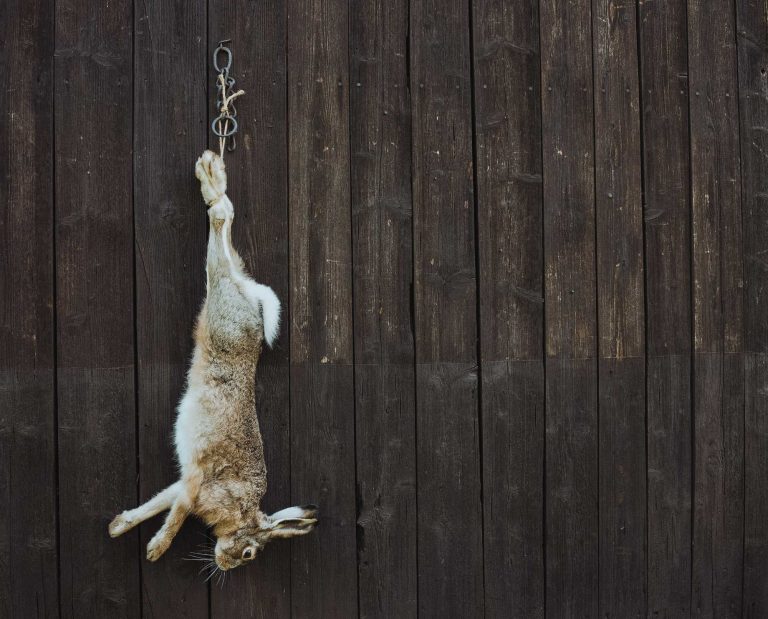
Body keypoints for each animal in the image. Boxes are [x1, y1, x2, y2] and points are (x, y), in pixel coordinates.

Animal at [108, 150, 317, 571]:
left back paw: (210, 176)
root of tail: (247, 291)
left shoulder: (185, 480)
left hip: (222, 292)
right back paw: (210, 180)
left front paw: (120, 526)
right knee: (221, 225)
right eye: (250, 553)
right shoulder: (197, 486)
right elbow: (176, 516)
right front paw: (156, 549)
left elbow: (160, 503)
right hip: (221, 300)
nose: (225, 565)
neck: (242, 511)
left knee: (226, 237)